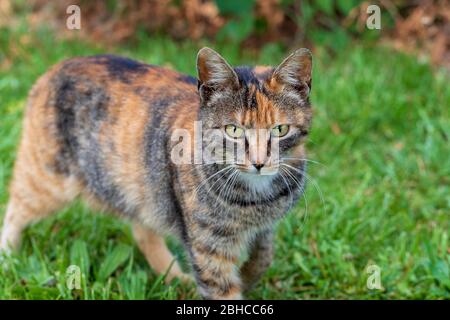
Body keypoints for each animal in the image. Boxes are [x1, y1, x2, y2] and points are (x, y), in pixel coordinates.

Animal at [0, 47, 312, 300]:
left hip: (143, 189)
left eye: (280, 129)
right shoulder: (208, 249)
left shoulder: (266, 227)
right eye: (233, 130)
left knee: (142, 230)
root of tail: (58, 66)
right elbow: (222, 289)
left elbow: (264, 256)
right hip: (47, 178)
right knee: (16, 207)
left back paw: (174, 277)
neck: (255, 198)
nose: (259, 162)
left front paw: (248, 277)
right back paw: (7, 256)